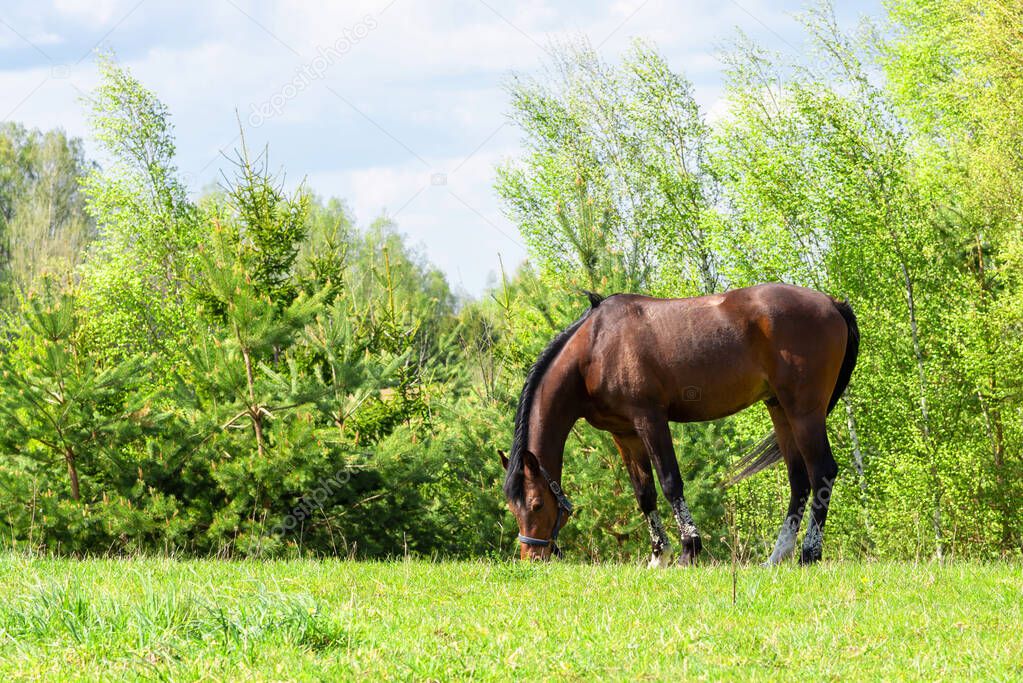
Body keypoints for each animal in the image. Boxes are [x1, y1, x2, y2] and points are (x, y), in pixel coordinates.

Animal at [499, 282, 859, 564]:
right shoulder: (624, 433)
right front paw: (658, 555)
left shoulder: (650, 419)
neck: (595, 348)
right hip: (779, 408)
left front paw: (689, 549)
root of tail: (832, 303)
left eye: (536, 505)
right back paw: (776, 556)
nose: (532, 557)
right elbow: (644, 493)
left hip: (804, 411)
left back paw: (809, 554)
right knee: (799, 480)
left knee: (822, 472)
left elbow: (670, 481)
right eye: (513, 509)